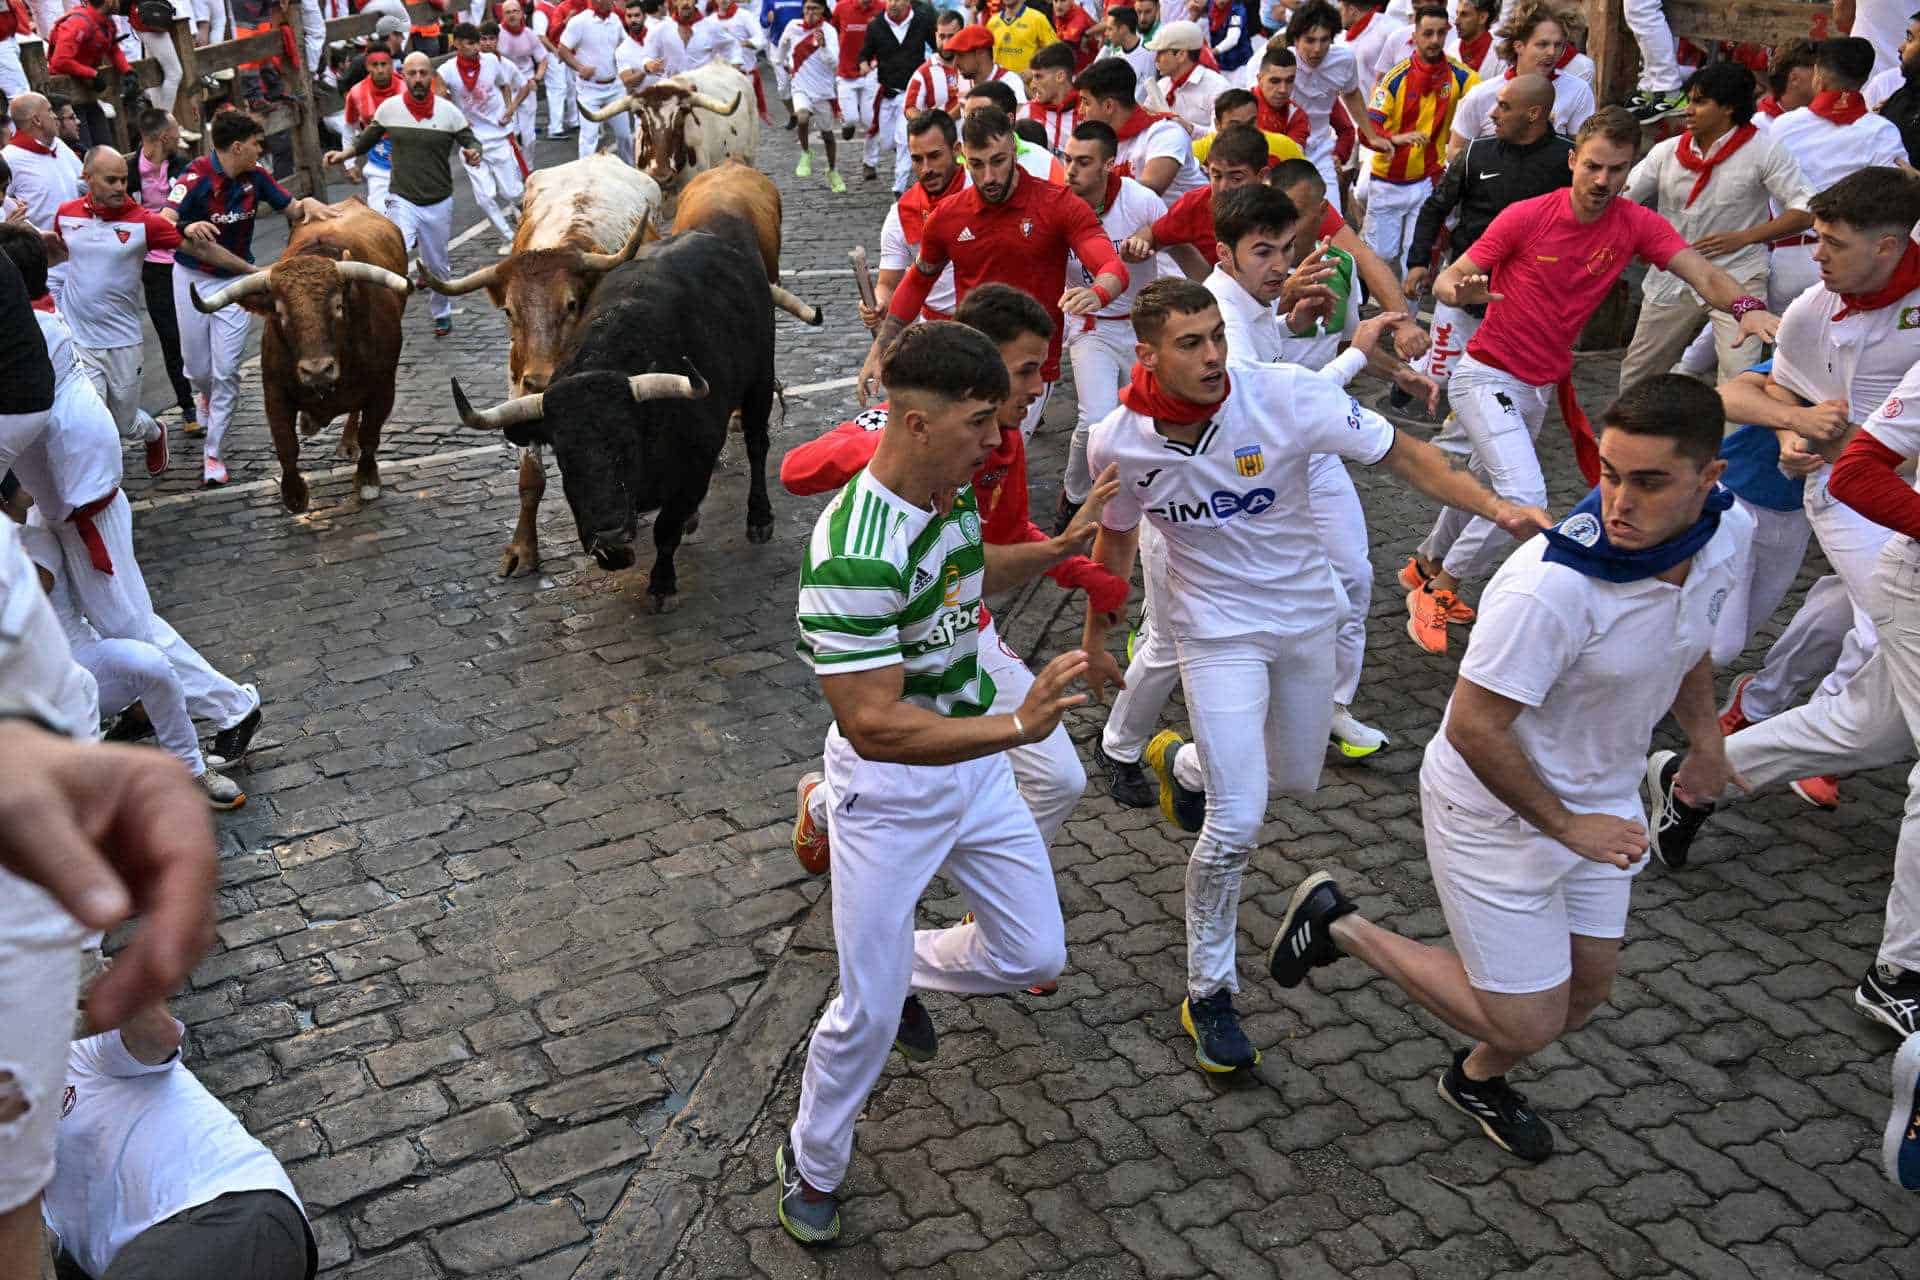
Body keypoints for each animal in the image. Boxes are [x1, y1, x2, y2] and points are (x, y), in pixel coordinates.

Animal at [190, 197, 408, 514]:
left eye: (339, 306)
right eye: (280, 313)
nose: (317, 370)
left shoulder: (382, 388)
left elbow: (369, 435)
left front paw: (367, 480)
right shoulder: (274, 393)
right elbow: (285, 444)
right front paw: (293, 494)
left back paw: (346, 442)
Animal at [453, 221, 775, 610]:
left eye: (628, 444)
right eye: (565, 458)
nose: (610, 536)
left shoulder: (697, 464)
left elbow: (666, 529)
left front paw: (661, 584)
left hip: (760, 378)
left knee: (757, 445)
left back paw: (759, 519)